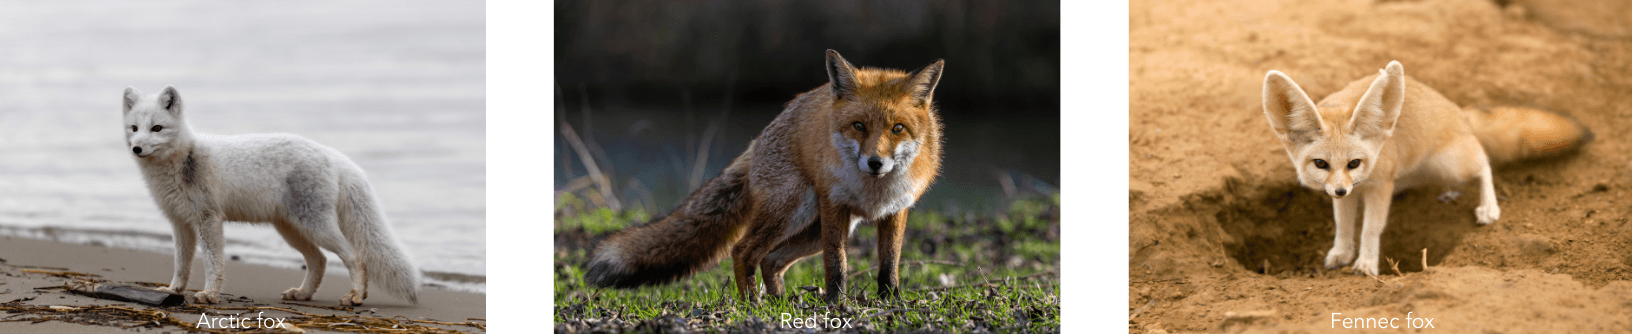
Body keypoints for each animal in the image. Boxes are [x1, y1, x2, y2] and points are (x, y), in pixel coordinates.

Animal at [125, 85, 421, 304]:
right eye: (134, 128)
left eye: (157, 128)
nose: (136, 148)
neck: (182, 159)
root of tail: (331, 154)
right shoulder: (180, 223)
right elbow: (181, 264)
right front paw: (173, 291)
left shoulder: (208, 220)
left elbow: (212, 262)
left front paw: (209, 294)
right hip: (291, 230)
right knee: (319, 260)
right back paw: (303, 294)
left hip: (314, 226)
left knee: (355, 257)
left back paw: (356, 296)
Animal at [584, 49, 946, 303]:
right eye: (859, 126)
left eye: (897, 128)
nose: (875, 163)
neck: (874, 191)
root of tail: (758, 138)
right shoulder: (834, 206)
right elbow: (837, 264)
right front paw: (836, 303)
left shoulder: (896, 210)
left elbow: (889, 264)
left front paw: (890, 301)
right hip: (795, 211)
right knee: (744, 251)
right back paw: (752, 305)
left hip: (812, 228)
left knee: (771, 259)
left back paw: (779, 302)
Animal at [1259, 61, 1592, 276]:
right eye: (1321, 164)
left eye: (1354, 163)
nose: (1340, 189)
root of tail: (1459, 111)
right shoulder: (1352, 192)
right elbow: (1343, 225)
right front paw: (1341, 253)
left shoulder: (1379, 185)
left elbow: (1370, 228)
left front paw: (1366, 264)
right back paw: (1449, 193)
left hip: (1451, 163)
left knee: (1483, 161)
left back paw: (1488, 207)